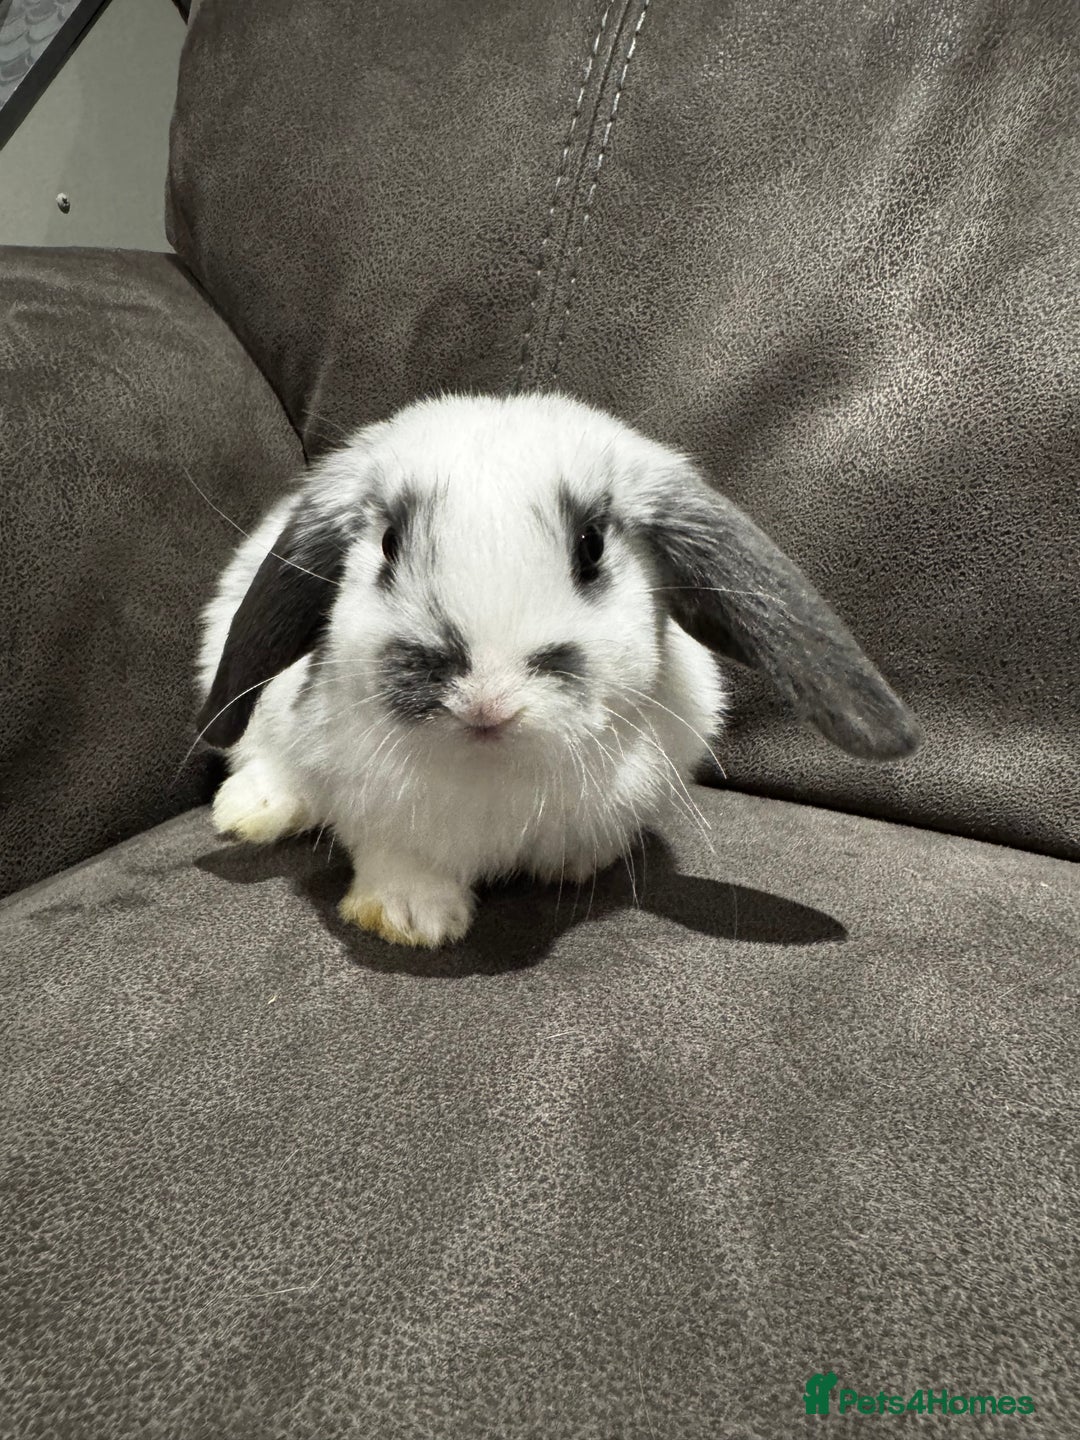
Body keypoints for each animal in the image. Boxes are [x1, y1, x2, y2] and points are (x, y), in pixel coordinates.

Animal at [196, 391, 921, 947]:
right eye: (388, 545)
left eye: (590, 547)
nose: (486, 700)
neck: (499, 773)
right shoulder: (376, 816)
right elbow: (397, 859)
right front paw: (410, 922)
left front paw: (574, 866)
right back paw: (249, 811)